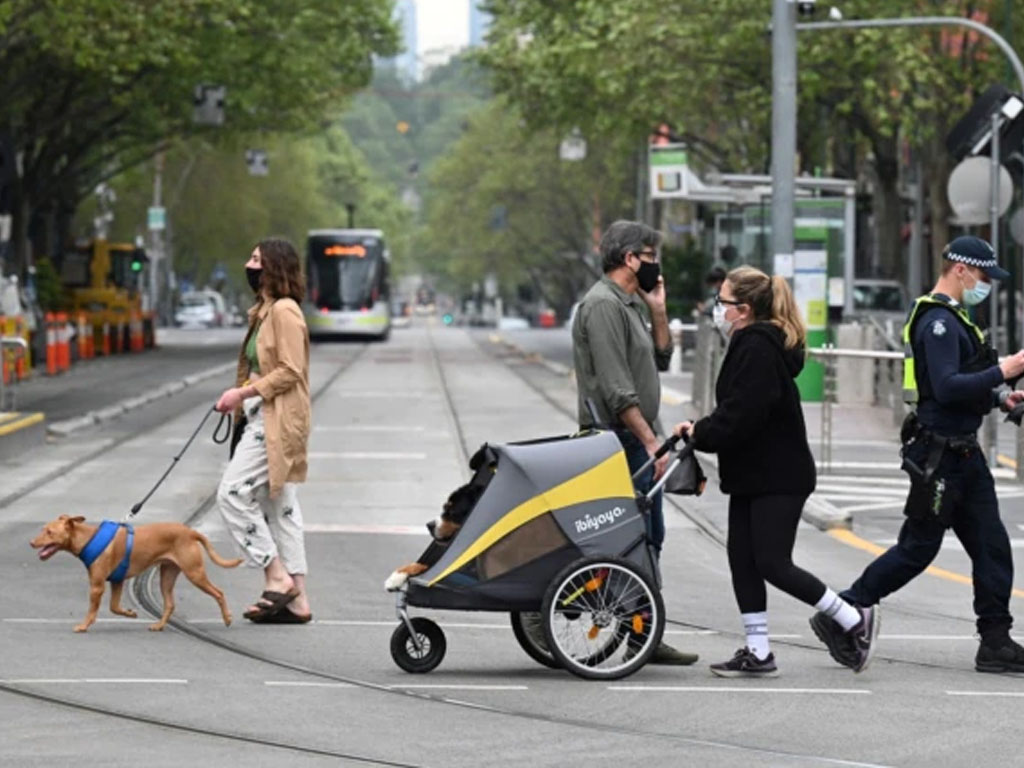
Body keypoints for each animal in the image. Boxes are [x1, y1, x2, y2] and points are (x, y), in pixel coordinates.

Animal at [30, 518, 241, 630]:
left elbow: (92, 610)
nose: (31, 542)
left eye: (49, 532)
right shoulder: (117, 582)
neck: (89, 538)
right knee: (170, 604)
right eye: (43, 529)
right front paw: (130, 613)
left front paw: (83, 626)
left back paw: (227, 618)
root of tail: (190, 532)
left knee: (219, 592)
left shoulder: (97, 586)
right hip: (167, 576)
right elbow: (114, 607)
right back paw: (159, 625)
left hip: (194, 573)